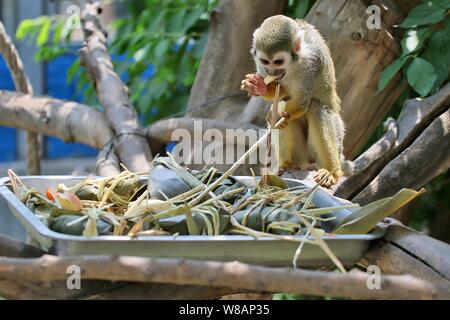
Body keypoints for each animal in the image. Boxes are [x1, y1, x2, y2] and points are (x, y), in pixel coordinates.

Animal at [241, 15, 350, 188]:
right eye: (265, 61)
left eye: (278, 62)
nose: (272, 71)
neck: (292, 65)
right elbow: (282, 93)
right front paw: (260, 87)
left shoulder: (310, 63)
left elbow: (301, 100)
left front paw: (281, 115)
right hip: (302, 156)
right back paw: (287, 164)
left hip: (338, 136)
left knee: (315, 106)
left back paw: (331, 171)